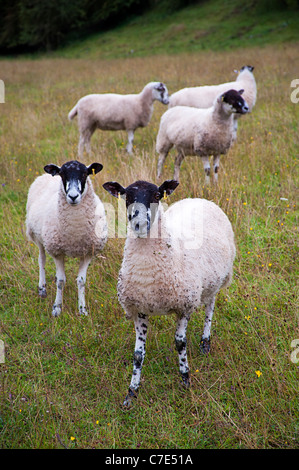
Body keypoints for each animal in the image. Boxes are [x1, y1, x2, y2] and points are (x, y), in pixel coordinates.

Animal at [25, 160, 108, 318]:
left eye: (85, 174)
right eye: (62, 174)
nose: (73, 196)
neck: (75, 231)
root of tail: (47, 175)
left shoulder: (88, 252)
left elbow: (81, 281)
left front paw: (82, 309)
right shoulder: (57, 251)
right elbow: (61, 281)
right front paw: (57, 308)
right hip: (39, 238)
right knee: (41, 260)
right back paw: (42, 289)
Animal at [103, 178, 237, 406]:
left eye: (157, 195)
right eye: (127, 196)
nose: (140, 224)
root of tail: (198, 198)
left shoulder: (185, 305)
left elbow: (180, 343)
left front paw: (186, 380)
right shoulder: (138, 309)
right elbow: (138, 354)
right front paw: (131, 393)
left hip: (216, 280)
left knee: (210, 307)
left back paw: (205, 342)